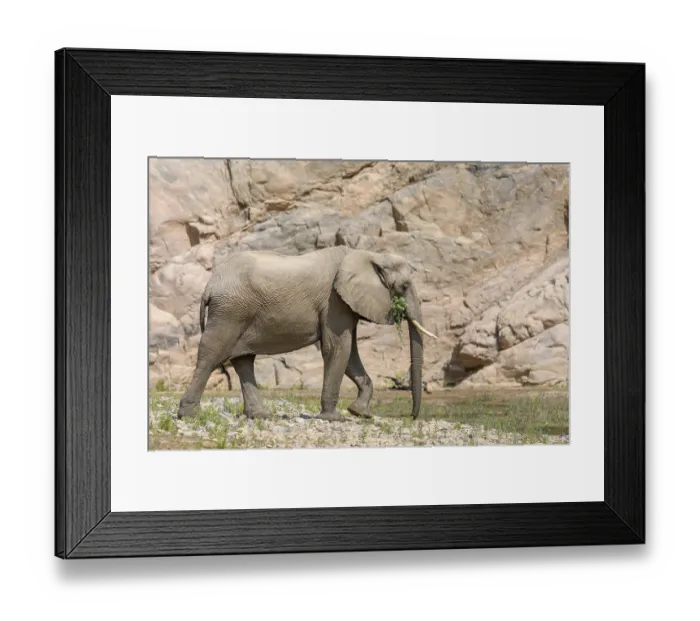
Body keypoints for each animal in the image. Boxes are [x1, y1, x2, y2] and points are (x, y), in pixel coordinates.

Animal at [177, 246, 437, 422]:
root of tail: (210, 285)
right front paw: (334, 419)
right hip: (230, 312)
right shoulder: (334, 301)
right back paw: (189, 415)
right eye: (404, 286)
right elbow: (337, 348)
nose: (411, 417)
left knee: (243, 360)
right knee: (211, 356)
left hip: (237, 312)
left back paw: (261, 416)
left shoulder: (344, 304)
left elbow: (349, 353)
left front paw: (359, 413)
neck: (367, 254)